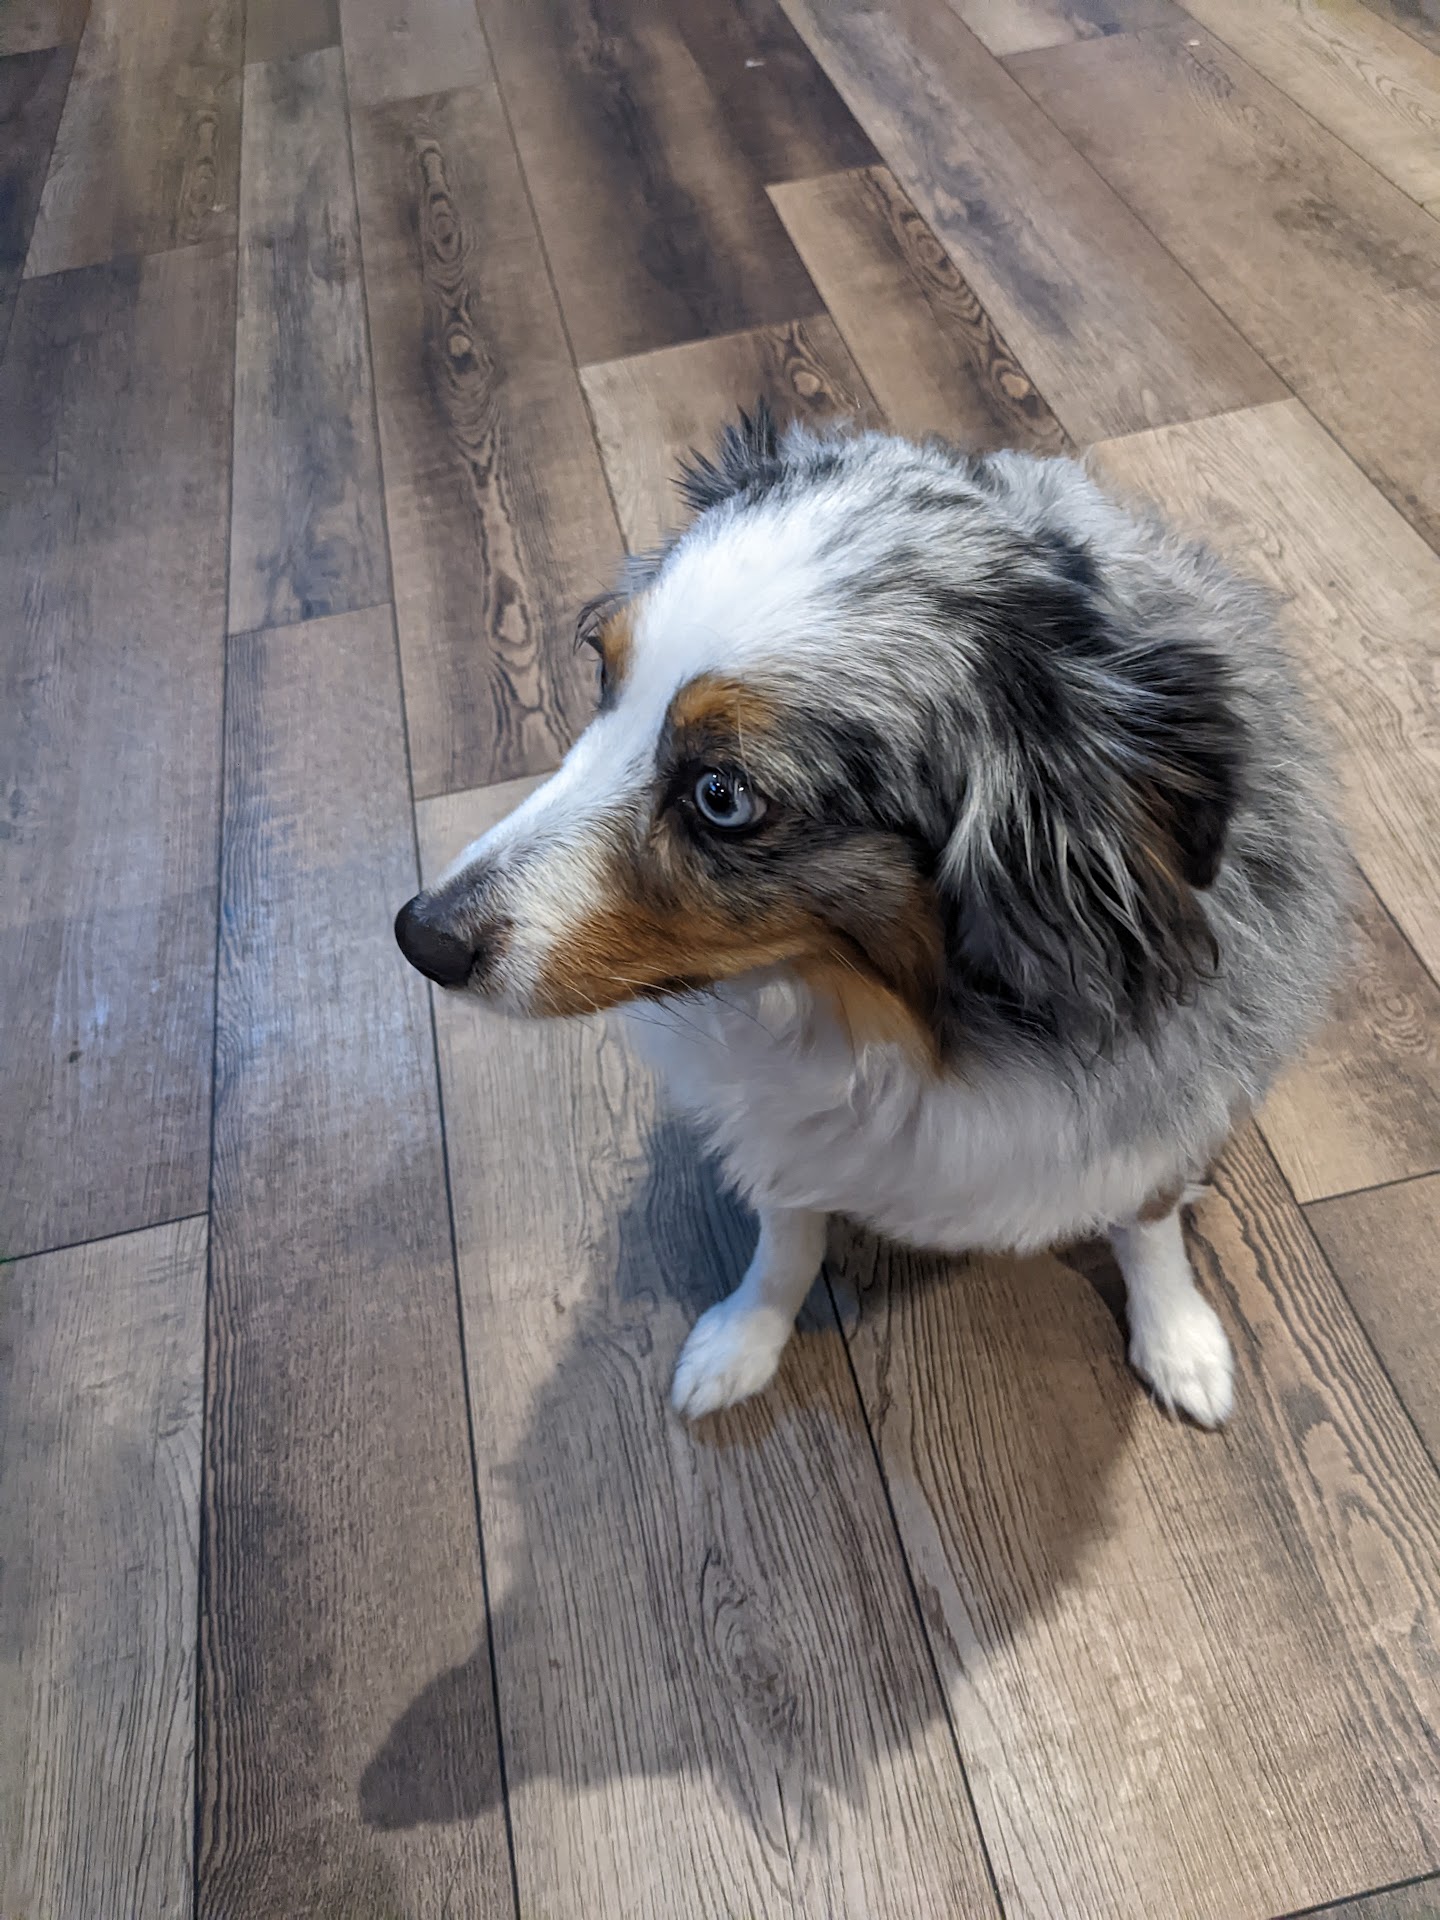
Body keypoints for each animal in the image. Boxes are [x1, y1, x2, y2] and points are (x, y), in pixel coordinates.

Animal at [396, 406, 1345, 1429]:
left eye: (723, 794)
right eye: (601, 677)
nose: (420, 937)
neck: (887, 1022)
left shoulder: (1159, 1101)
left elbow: (1149, 1219)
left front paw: (1179, 1339)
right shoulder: (782, 1127)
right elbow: (787, 1238)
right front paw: (743, 1336)